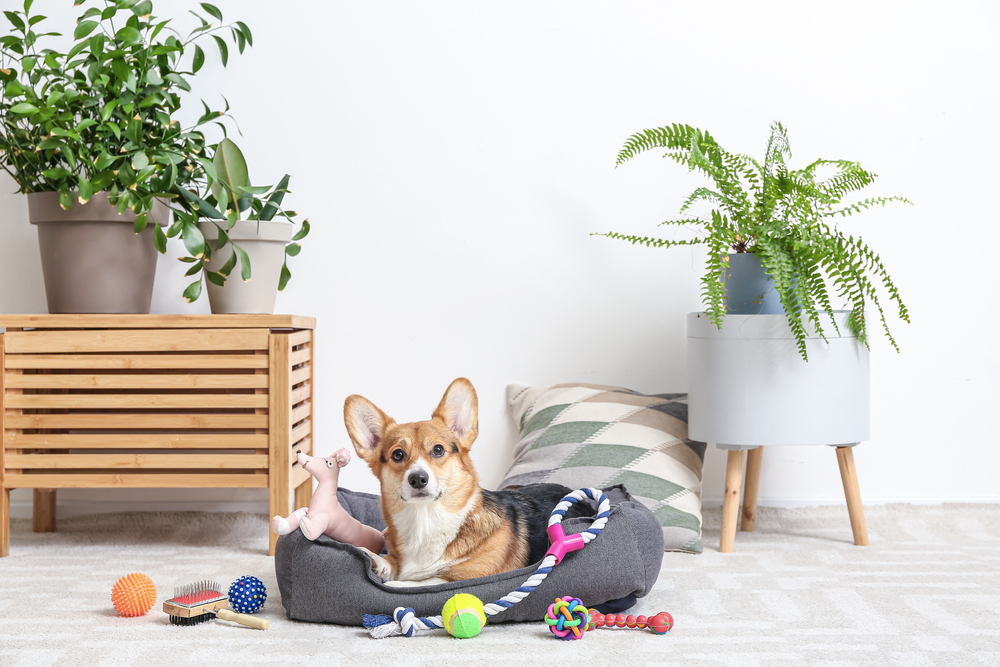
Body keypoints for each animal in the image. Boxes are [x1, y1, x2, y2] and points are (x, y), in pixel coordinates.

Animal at [344, 378, 584, 588]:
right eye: (398, 455)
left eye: (438, 449)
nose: (418, 479)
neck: (425, 520)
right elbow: (391, 562)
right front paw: (375, 559)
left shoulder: (471, 576)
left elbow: (424, 581)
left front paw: (399, 581)